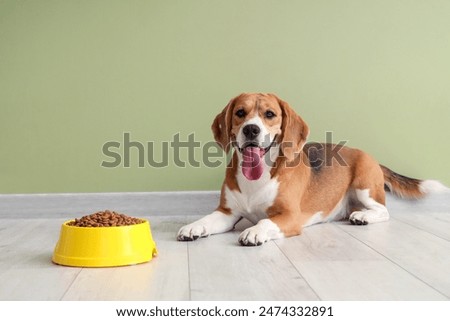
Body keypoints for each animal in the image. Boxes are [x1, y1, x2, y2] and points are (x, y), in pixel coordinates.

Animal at [177, 92, 446, 245]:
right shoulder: (227, 213)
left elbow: (264, 222)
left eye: (269, 114)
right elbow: (207, 219)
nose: (251, 129)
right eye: (240, 113)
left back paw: (364, 217)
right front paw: (193, 227)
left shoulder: (289, 216)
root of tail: (363, 153)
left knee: (383, 211)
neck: (258, 177)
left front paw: (254, 231)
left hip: (365, 187)